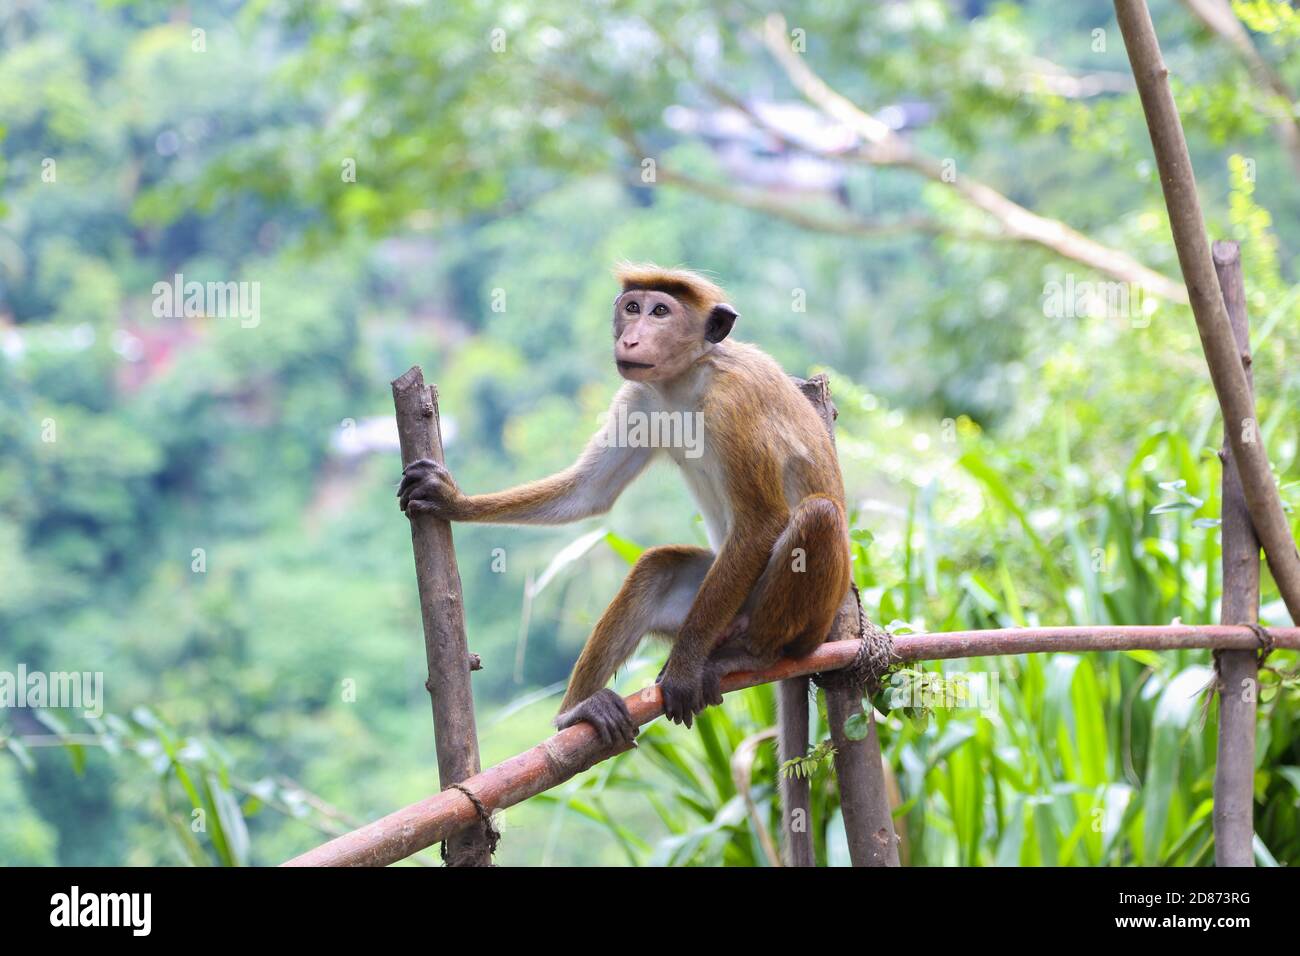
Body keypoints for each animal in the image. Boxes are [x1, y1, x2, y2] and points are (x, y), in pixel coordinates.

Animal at [395, 261, 852, 749]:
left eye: (660, 312)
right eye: (632, 307)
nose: (630, 338)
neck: (685, 381)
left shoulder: (734, 405)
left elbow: (763, 521)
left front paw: (684, 671)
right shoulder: (640, 399)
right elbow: (589, 492)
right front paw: (450, 499)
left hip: (797, 620)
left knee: (818, 516)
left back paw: (751, 655)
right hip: (717, 605)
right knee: (657, 570)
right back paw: (577, 713)